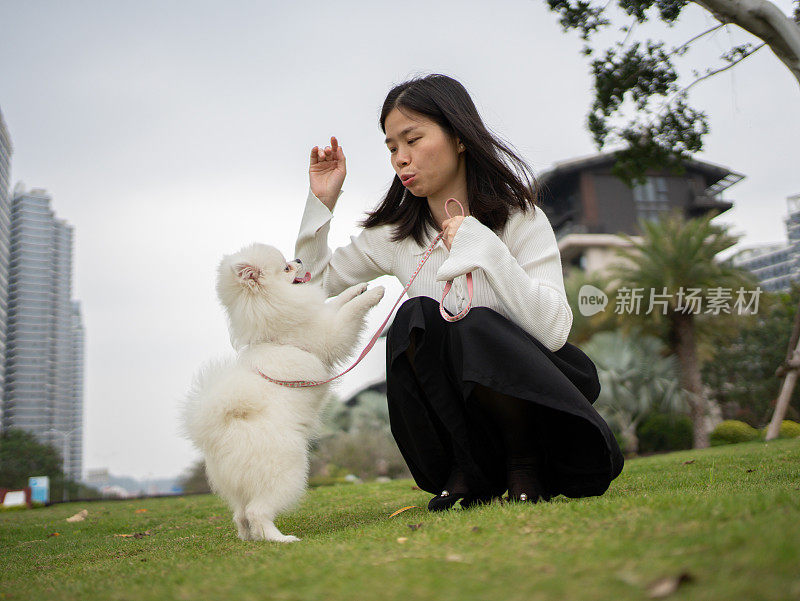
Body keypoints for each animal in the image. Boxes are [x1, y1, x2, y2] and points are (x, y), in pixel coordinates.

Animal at [180, 241, 384, 540]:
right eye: (286, 268)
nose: (299, 260)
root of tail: (219, 432)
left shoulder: (319, 315)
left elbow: (335, 302)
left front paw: (359, 288)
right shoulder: (329, 335)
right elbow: (348, 312)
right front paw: (375, 293)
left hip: (239, 487)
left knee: (241, 514)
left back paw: (249, 539)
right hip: (287, 471)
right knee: (257, 512)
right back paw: (281, 539)